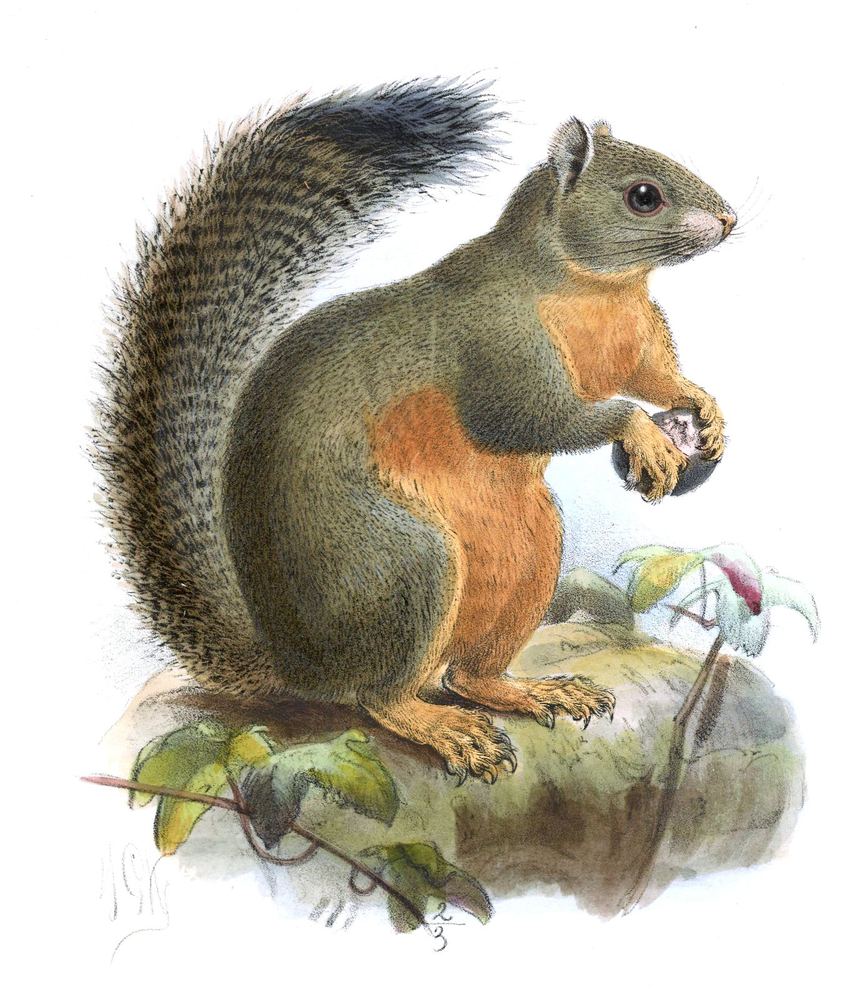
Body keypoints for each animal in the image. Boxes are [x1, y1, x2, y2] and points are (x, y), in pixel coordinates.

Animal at [94, 81, 735, 783]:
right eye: (643, 195)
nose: (729, 219)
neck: (598, 290)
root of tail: (298, 666)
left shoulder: (638, 343)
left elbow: (655, 376)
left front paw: (704, 407)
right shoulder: (498, 340)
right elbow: (528, 417)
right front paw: (642, 433)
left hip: (530, 553)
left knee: (467, 676)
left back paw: (531, 691)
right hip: (401, 565)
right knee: (381, 696)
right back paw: (443, 728)